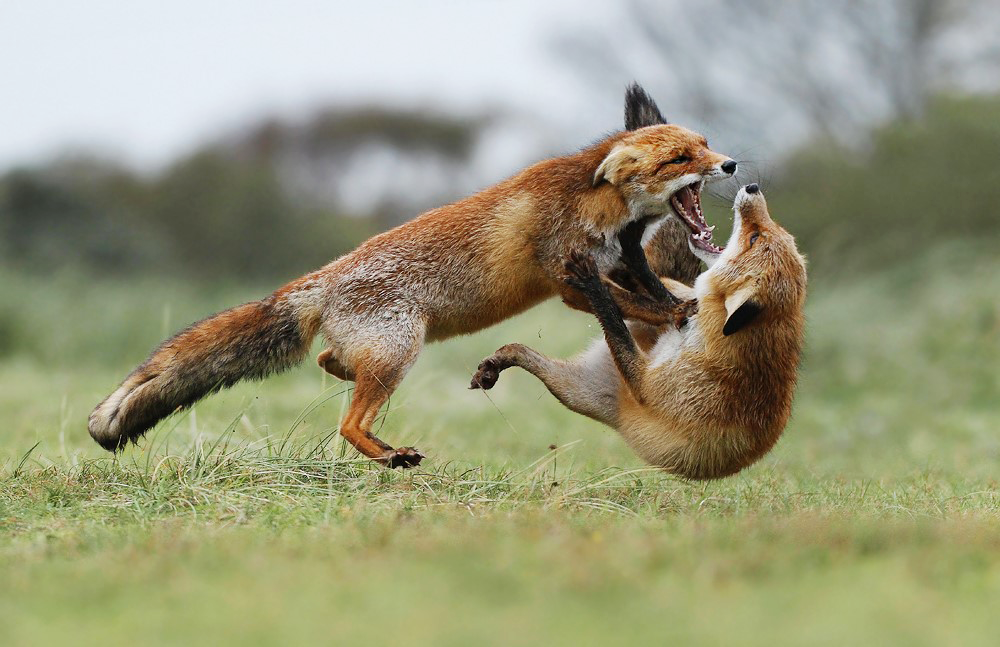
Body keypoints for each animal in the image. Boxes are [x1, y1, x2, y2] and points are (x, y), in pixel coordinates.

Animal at [90, 85, 740, 466]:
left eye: (705, 145)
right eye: (680, 159)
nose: (732, 164)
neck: (597, 205)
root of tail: (321, 278)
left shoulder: (610, 265)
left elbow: (646, 294)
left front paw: (682, 307)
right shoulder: (572, 281)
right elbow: (637, 305)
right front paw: (679, 312)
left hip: (387, 351)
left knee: (330, 364)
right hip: (400, 350)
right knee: (347, 423)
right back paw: (388, 455)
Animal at [472, 185, 808, 478]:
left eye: (753, 237)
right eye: (766, 233)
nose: (752, 187)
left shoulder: (647, 384)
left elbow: (613, 320)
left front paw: (592, 283)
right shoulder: (683, 309)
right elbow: (657, 295)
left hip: (574, 392)